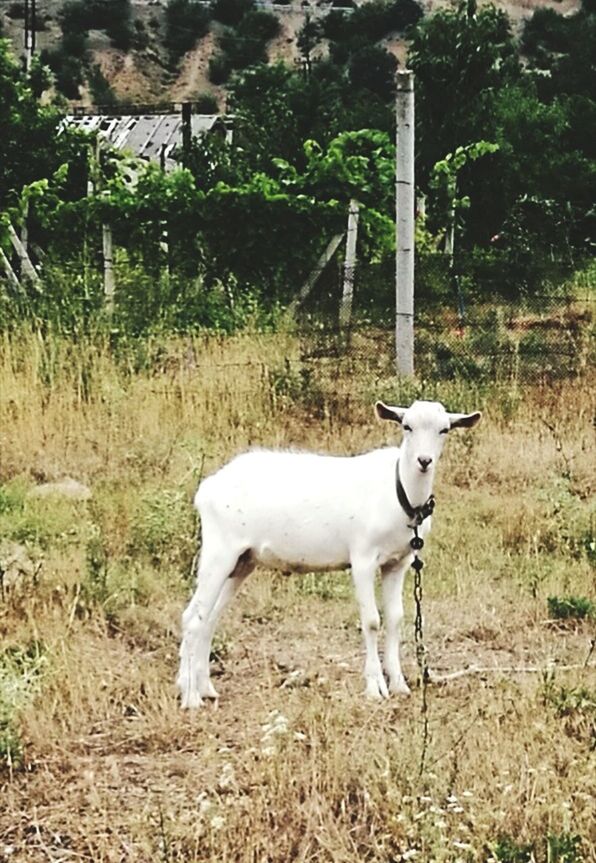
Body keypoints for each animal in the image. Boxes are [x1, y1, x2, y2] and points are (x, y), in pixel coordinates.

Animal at [177, 400, 480, 708]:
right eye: (406, 426)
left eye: (444, 429)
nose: (424, 460)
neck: (401, 495)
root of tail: (206, 490)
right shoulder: (363, 558)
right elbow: (372, 621)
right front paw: (375, 687)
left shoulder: (398, 563)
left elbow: (395, 618)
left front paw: (399, 684)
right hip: (220, 551)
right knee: (193, 617)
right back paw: (191, 698)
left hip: (242, 562)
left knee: (210, 619)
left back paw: (205, 688)